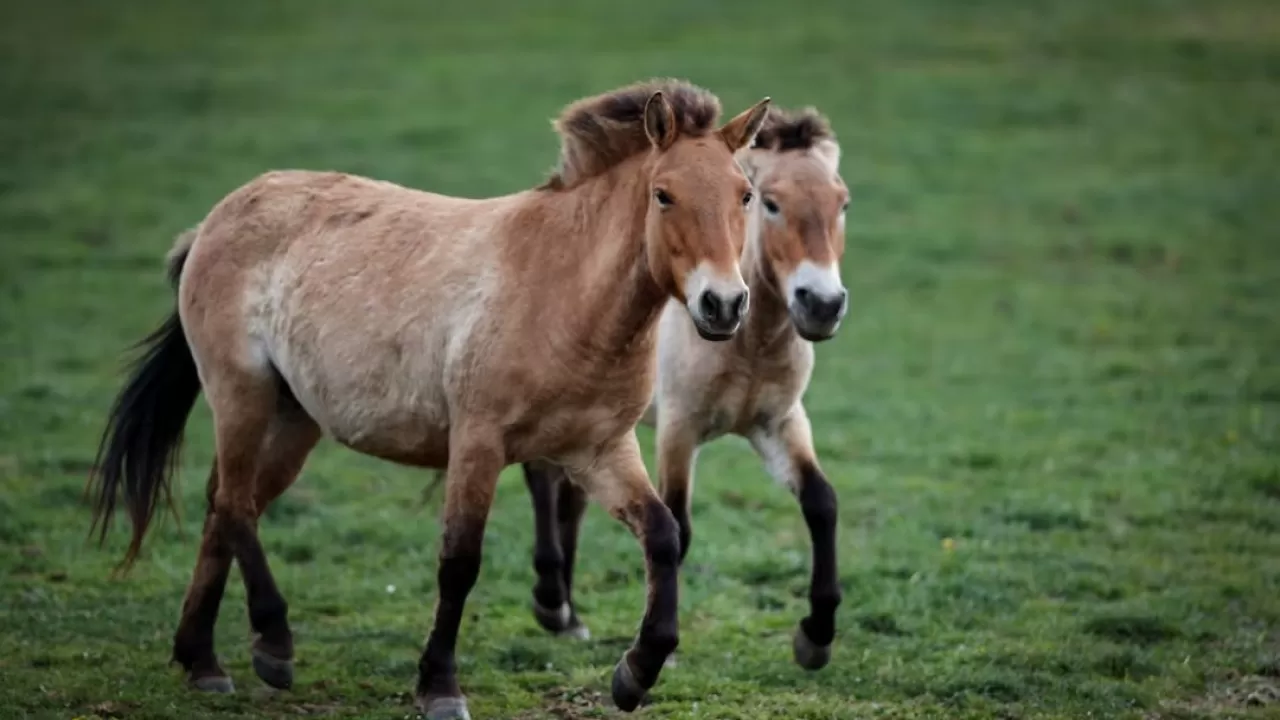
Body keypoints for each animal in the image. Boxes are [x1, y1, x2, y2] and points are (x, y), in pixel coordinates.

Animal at [90, 79, 768, 717]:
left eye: (745, 195)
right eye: (664, 194)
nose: (724, 305)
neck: (562, 291)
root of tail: (215, 220)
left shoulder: (599, 450)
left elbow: (662, 535)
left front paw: (635, 674)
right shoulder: (477, 444)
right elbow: (459, 561)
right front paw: (439, 686)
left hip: (293, 419)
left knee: (229, 506)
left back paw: (201, 659)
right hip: (241, 394)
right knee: (233, 504)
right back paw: (273, 646)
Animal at [519, 105, 849, 666]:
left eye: (842, 203)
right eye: (771, 203)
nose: (822, 304)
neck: (748, 344)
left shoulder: (779, 422)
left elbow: (821, 502)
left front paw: (816, 637)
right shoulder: (679, 428)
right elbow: (680, 522)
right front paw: (662, 652)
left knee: (571, 497)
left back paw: (569, 615)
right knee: (543, 480)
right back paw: (552, 605)